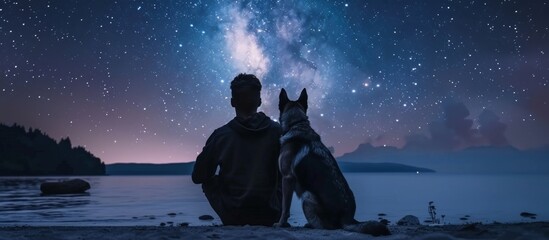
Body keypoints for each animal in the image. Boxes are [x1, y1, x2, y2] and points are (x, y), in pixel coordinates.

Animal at [274, 88, 390, 236]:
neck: (297, 124)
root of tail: (347, 218)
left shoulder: (287, 178)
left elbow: (285, 207)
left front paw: (280, 224)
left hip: (307, 196)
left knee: (325, 227)